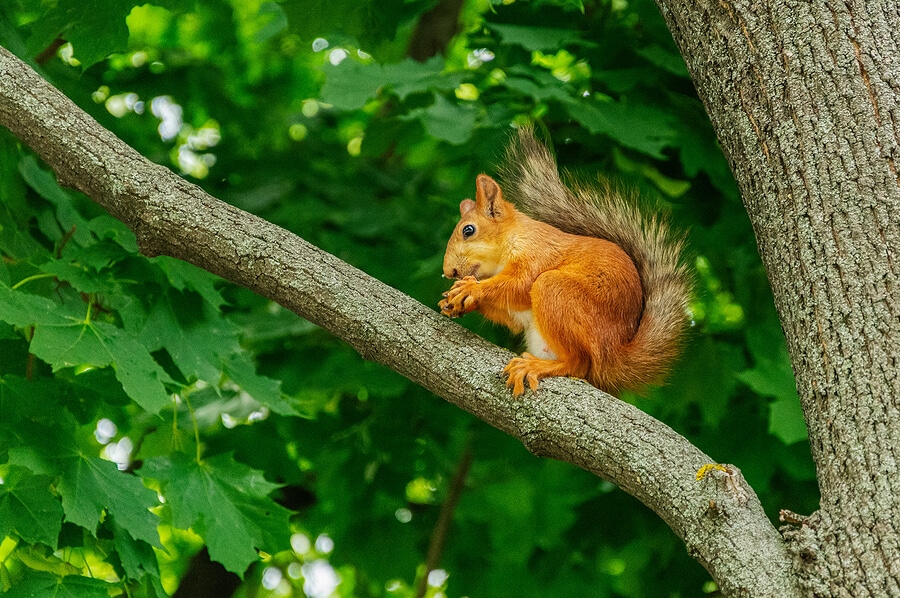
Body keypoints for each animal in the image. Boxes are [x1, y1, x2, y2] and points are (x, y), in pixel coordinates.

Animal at [438, 127, 691, 397]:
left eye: (468, 230)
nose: (449, 271)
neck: (514, 237)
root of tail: (614, 354)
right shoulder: (517, 312)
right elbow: (512, 318)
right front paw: (454, 301)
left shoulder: (538, 253)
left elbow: (519, 284)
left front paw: (471, 288)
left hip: (556, 290)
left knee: (578, 363)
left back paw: (535, 366)